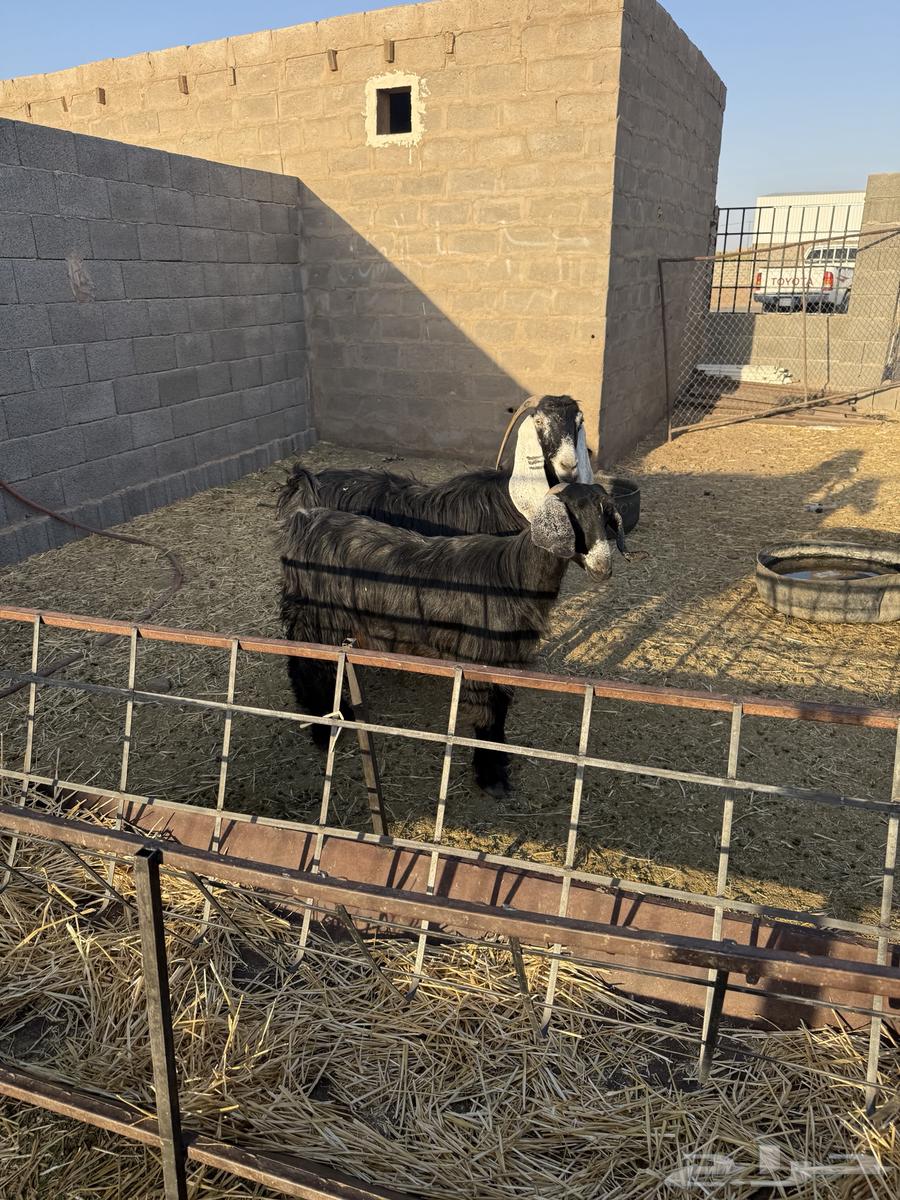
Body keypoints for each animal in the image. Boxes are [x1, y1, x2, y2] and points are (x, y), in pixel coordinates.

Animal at [278, 481, 627, 797]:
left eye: (606, 515)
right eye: (573, 516)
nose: (603, 568)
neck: (513, 575)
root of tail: (306, 519)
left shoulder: (505, 663)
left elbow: (499, 715)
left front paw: (499, 761)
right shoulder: (480, 663)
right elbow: (487, 718)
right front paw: (490, 777)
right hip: (317, 618)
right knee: (309, 664)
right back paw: (322, 728)